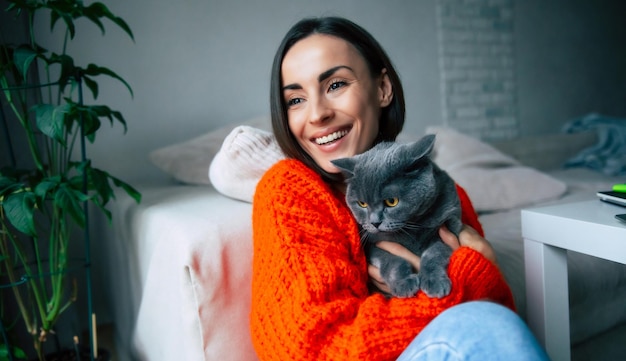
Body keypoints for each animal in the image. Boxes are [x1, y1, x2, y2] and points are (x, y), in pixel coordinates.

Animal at [330, 134, 460, 296]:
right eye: (362, 204)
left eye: (392, 201)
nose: (375, 222)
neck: (411, 228)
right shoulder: (372, 245)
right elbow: (392, 261)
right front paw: (404, 284)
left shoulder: (450, 224)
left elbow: (434, 253)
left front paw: (434, 282)